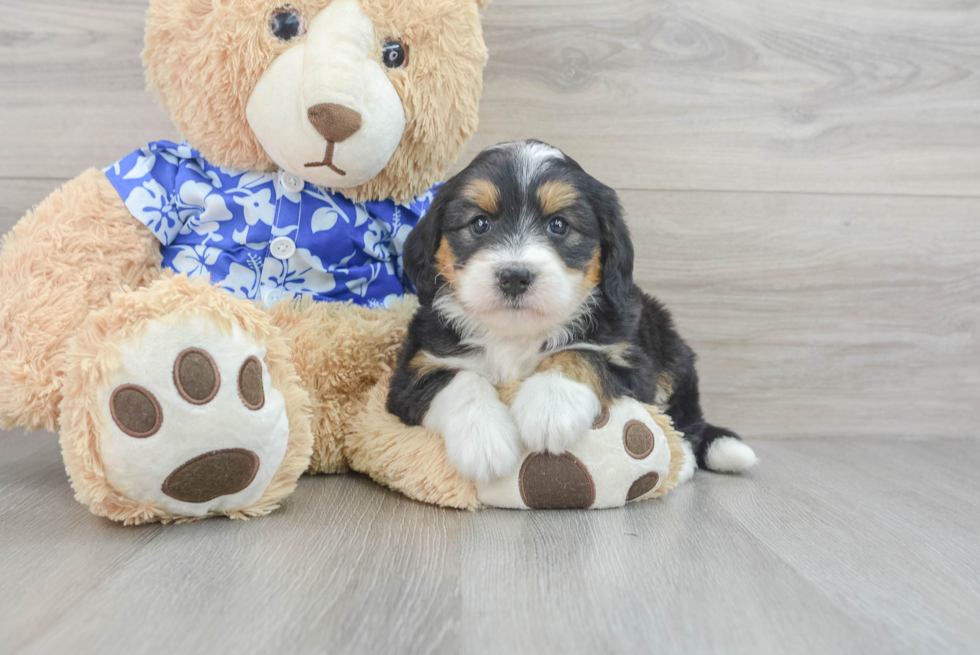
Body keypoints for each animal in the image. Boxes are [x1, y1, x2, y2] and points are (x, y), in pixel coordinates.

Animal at [386, 141, 756, 484]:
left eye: (559, 225)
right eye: (479, 223)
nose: (514, 276)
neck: (516, 335)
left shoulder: (633, 361)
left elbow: (581, 354)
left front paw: (549, 405)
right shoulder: (410, 373)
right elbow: (458, 380)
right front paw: (484, 441)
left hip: (669, 349)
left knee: (687, 420)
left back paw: (685, 463)